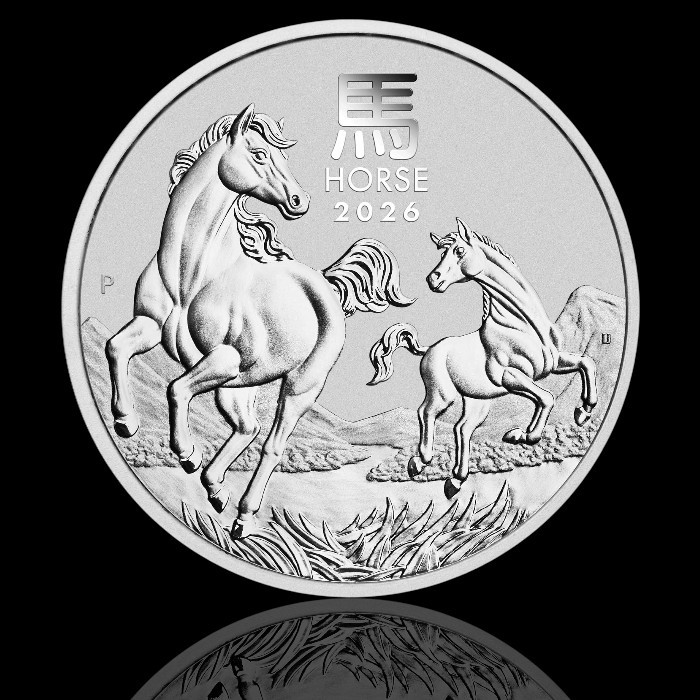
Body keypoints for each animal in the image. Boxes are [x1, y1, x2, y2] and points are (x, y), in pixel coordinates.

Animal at [106, 104, 414, 538]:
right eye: (260, 154)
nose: (299, 200)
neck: (193, 275)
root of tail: (328, 287)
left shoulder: (225, 358)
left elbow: (175, 389)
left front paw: (186, 453)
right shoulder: (150, 326)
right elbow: (116, 348)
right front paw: (125, 422)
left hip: (298, 387)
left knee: (271, 443)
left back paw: (242, 516)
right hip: (238, 387)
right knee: (246, 428)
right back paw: (216, 491)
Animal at [368, 217, 597, 500]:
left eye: (458, 251)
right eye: (442, 253)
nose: (433, 279)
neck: (520, 324)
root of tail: (428, 349)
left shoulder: (552, 365)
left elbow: (586, 363)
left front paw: (583, 412)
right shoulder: (510, 376)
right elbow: (546, 397)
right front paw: (525, 436)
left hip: (477, 402)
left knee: (462, 428)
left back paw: (456, 480)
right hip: (442, 394)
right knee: (426, 413)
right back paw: (420, 462)